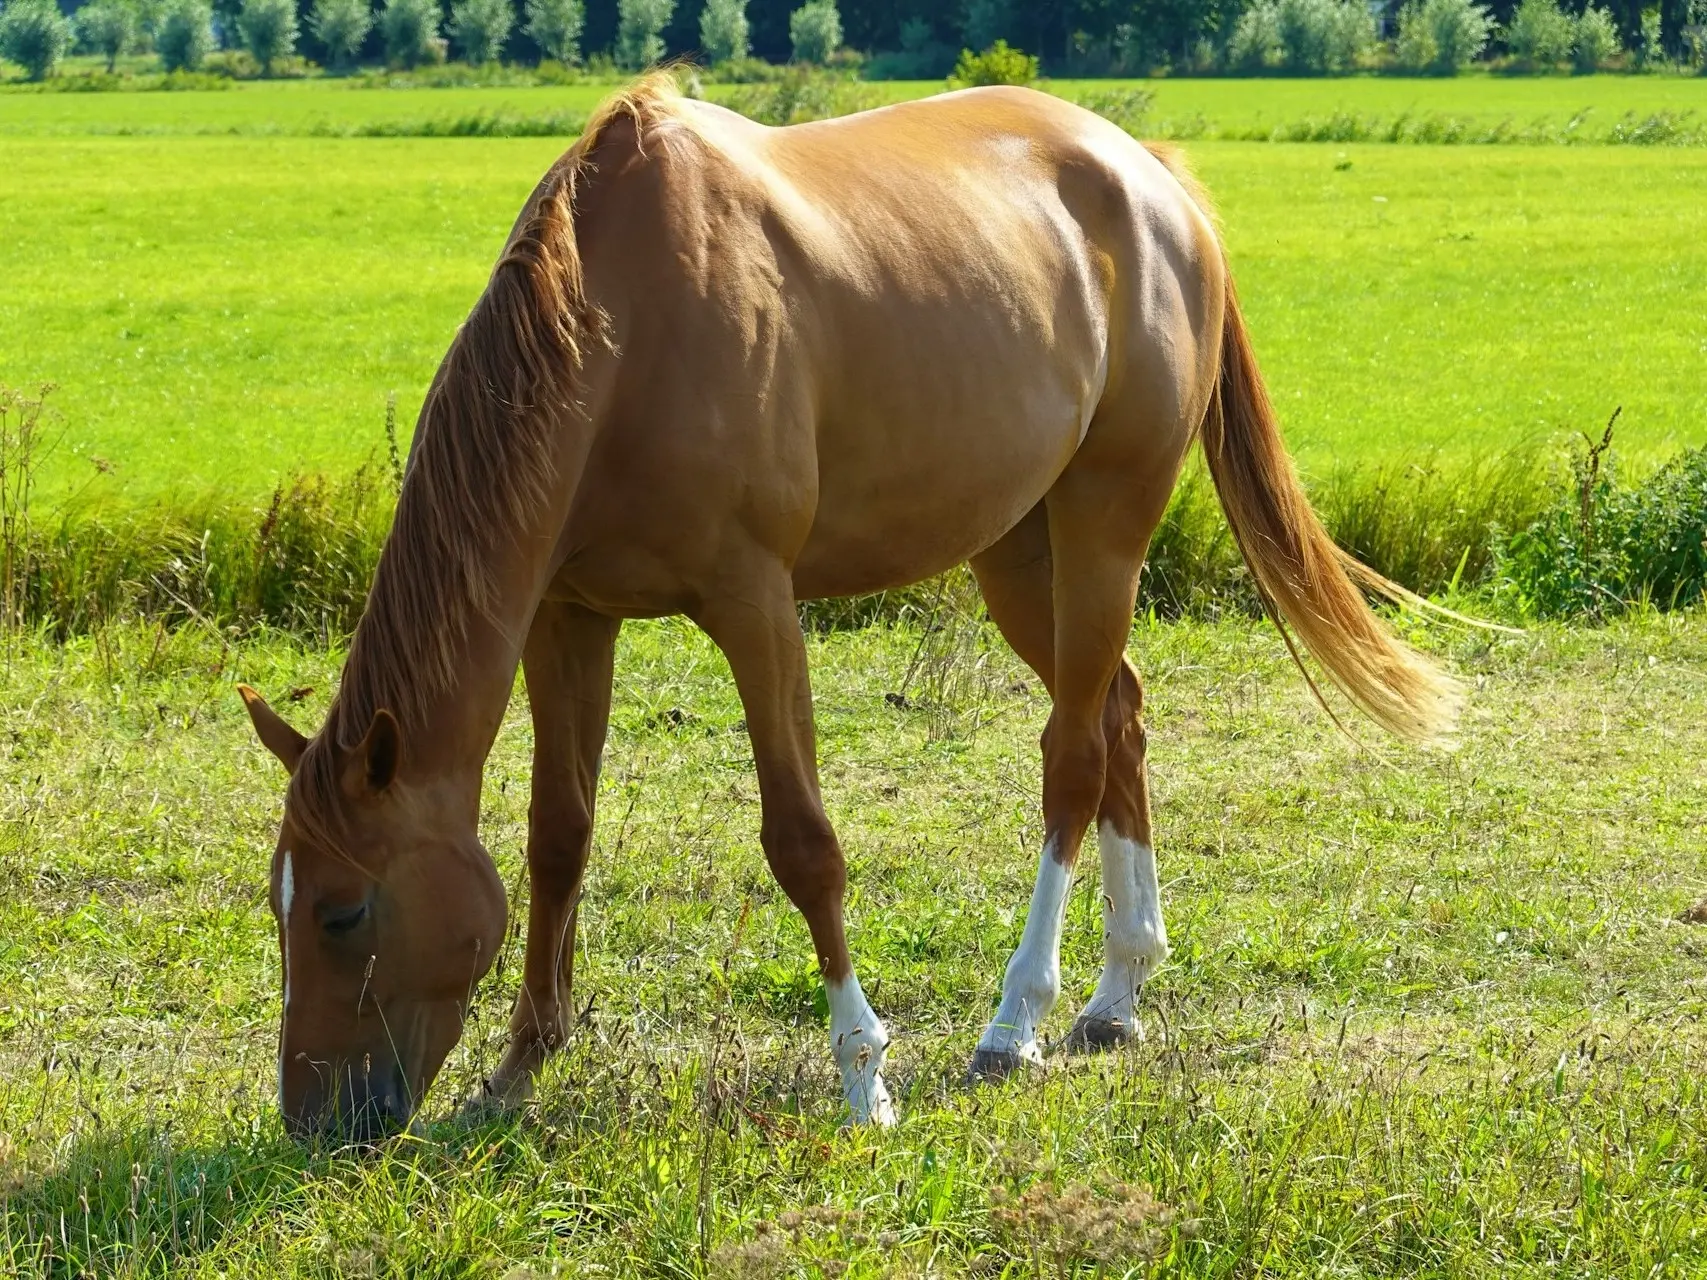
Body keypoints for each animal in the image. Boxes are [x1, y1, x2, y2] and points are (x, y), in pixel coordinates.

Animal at [240, 80, 1461, 1140]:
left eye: (345, 911)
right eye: (279, 903)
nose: (314, 1123)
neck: (619, 328)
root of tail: (1154, 182)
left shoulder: (754, 604)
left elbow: (803, 842)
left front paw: (861, 1075)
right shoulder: (569, 616)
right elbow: (557, 838)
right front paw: (517, 1070)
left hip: (1105, 521)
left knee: (1072, 754)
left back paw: (1015, 1020)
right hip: (1018, 545)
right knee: (1118, 714)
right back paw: (1116, 995)